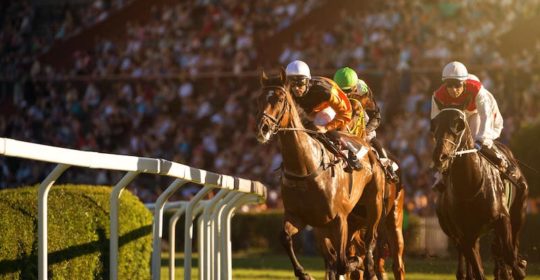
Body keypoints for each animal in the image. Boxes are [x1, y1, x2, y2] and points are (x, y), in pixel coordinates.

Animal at [256, 68, 384, 280]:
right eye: (259, 99)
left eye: (280, 99)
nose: (263, 129)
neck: (305, 168)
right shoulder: (298, 216)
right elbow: (284, 237)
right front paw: (303, 273)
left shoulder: (339, 220)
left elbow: (342, 262)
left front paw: (355, 263)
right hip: (333, 224)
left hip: (374, 205)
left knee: (369, 240)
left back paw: (368, 265)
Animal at [430, 108, 528, 278]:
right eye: (434, 127)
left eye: (458, 126)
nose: (440, 157)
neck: (470, 185)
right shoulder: (464, 234)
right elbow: (478, 270)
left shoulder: (502, 218)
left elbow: (509, 254)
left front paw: (518, 269)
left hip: (519, 208)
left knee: (511, 241)